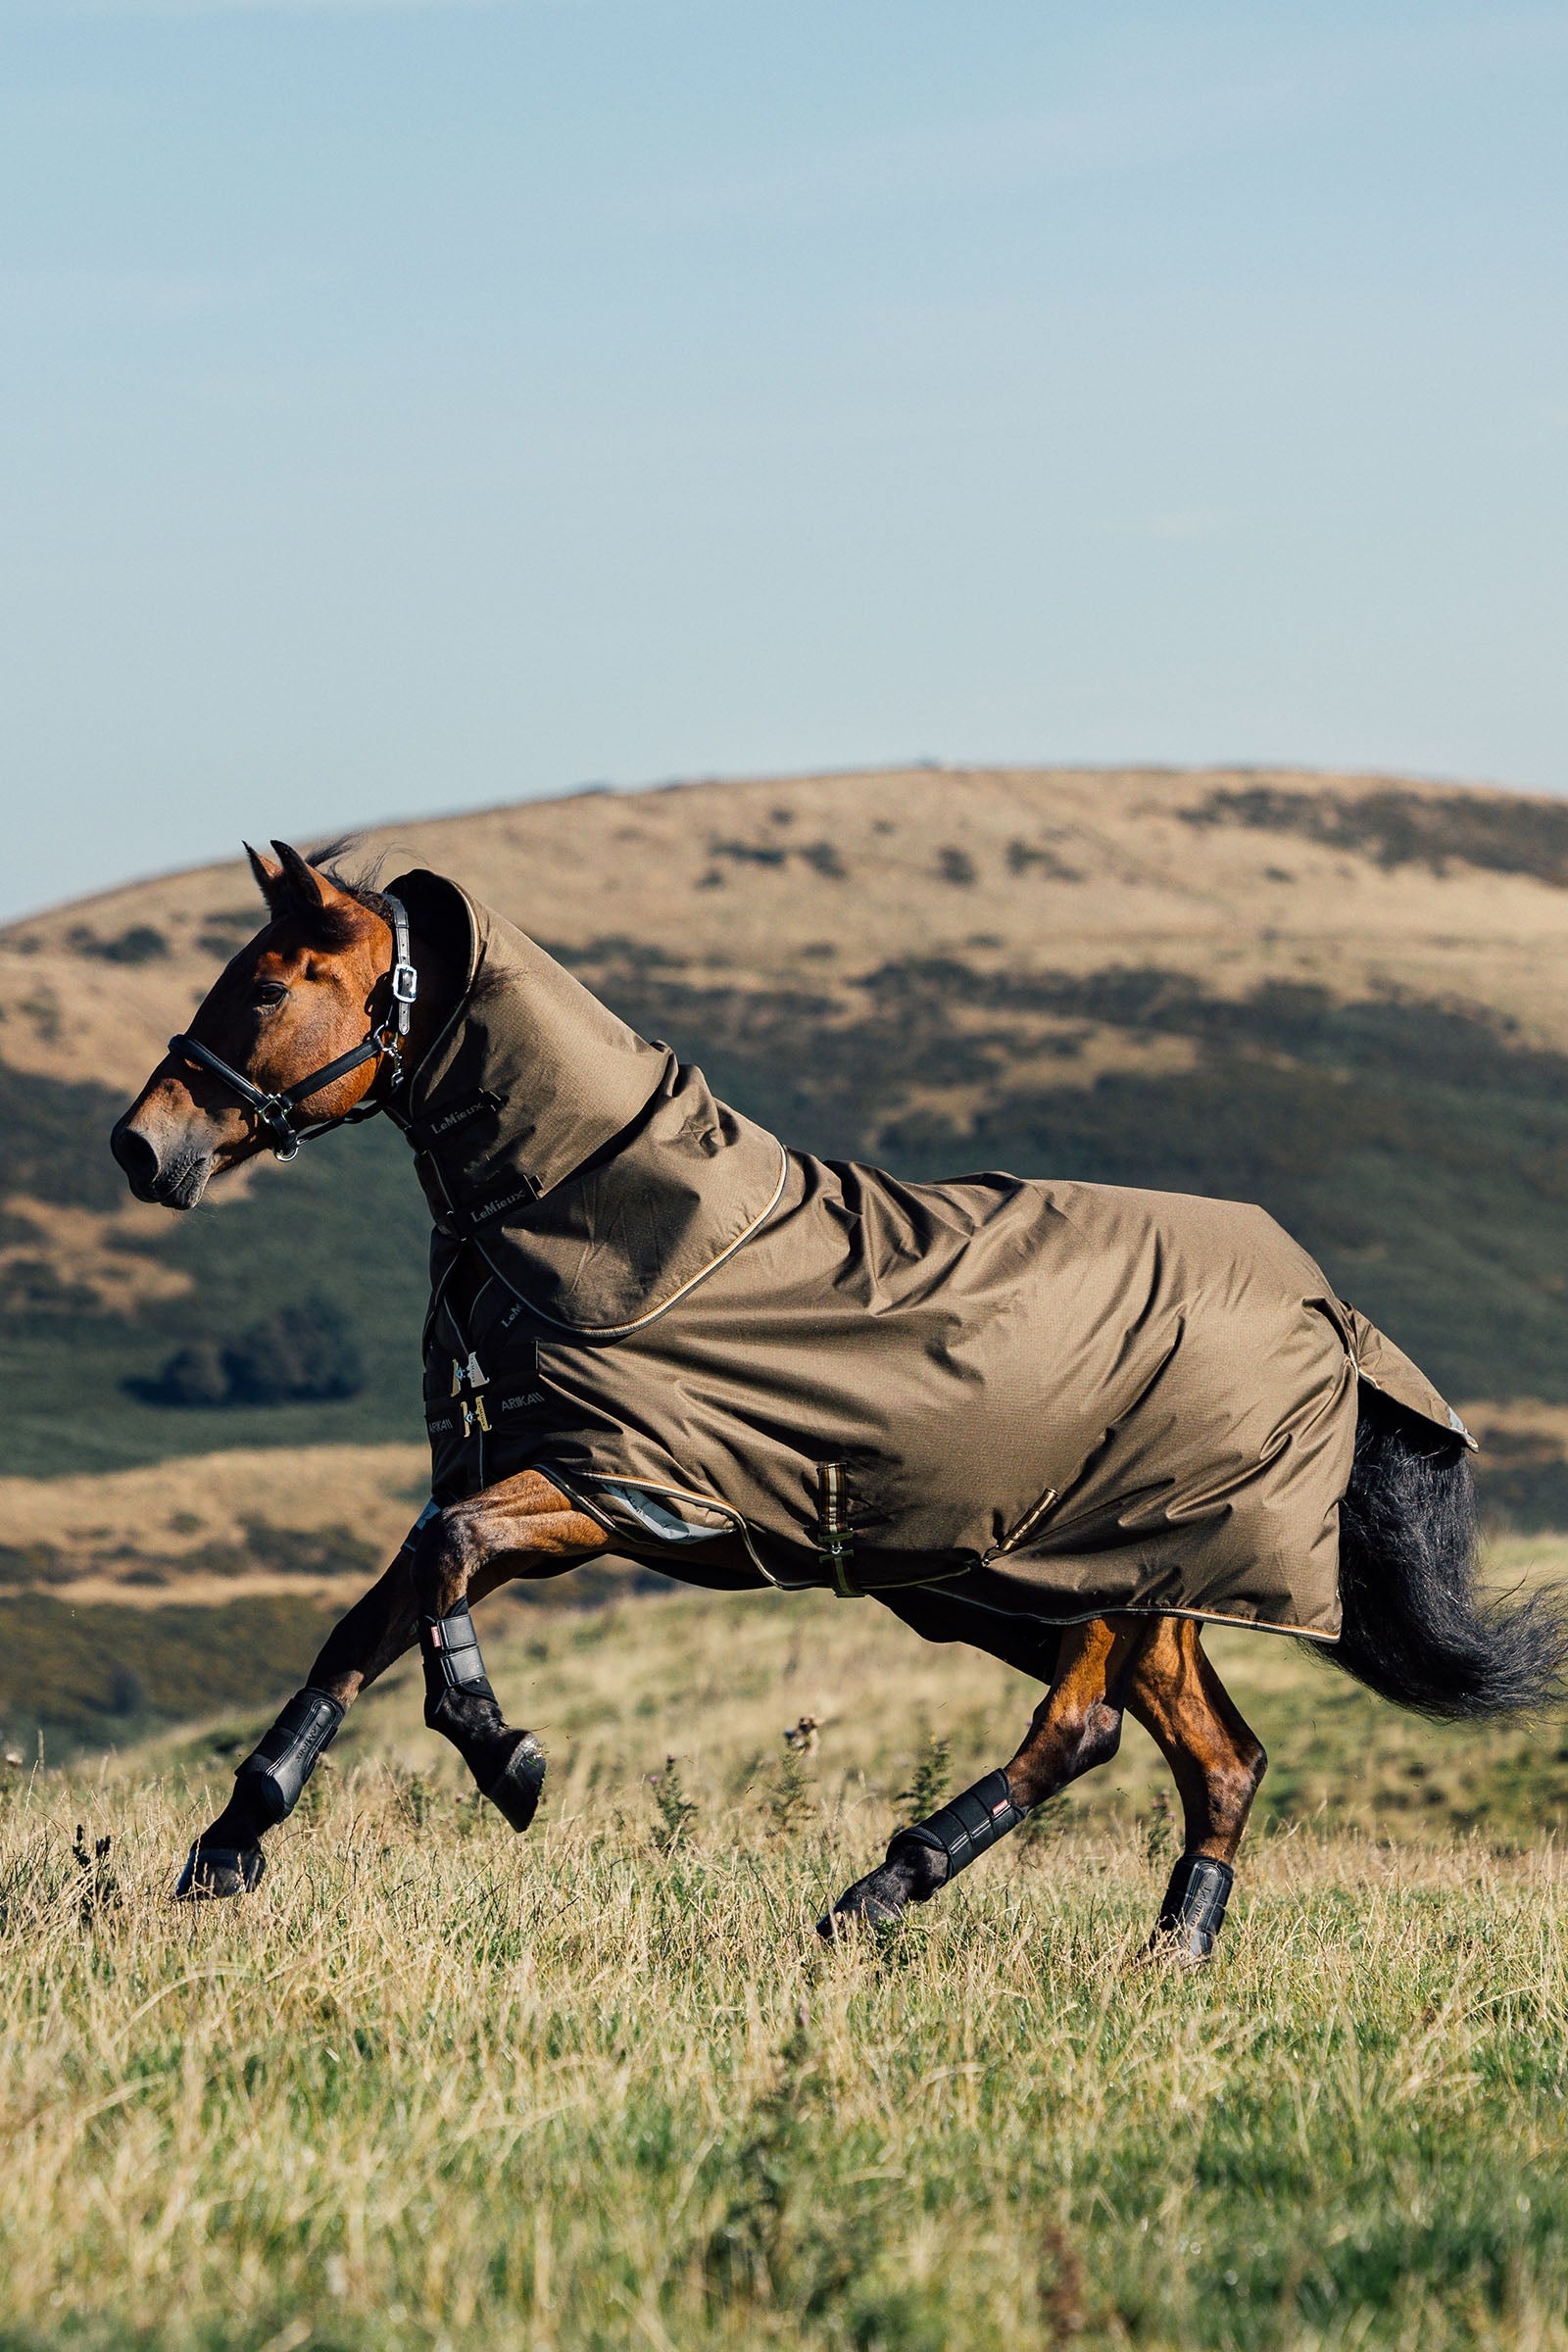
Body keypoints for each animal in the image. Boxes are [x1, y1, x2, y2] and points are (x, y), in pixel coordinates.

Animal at [110, 841, 1568, 1954]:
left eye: (270, 985)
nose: (142, 1145)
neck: (603, 1207)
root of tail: (1332, 1316)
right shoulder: (521, 1475)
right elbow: (375, 1611)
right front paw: (229, 1844)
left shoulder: (616, 1490)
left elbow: (440, 1567)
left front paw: (501, 1757)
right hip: (1119, 1585)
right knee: (1215, 1758)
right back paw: (1170, 1952)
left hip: (1118, 1572)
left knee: (1080, 1731)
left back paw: (874, 1899)